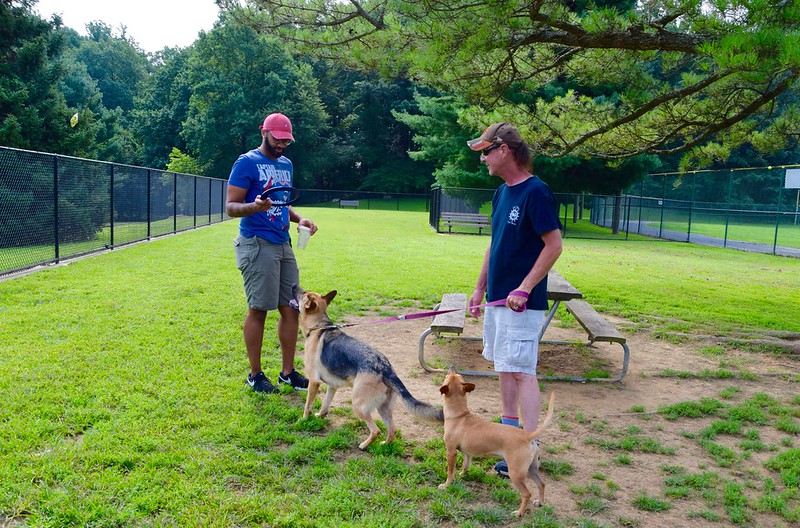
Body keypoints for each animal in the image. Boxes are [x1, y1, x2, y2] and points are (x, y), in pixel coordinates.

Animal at [294, 284, 444, 450]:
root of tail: (386, 370)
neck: (318, 327)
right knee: (392, 430)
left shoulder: (314, 382)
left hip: (359, 405)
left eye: (303, 293)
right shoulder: (332, 386)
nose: (294, 285)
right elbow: (325, 406)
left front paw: (303, 420)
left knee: (376, 430)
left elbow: (308, 405)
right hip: (383, 407)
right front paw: (320, 416)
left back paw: (364, 445)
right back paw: (384, 445)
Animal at [438, 368, 556, 516]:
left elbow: (450, 472)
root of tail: (527, 436)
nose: (452, 367)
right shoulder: (467, 453)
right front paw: (462, 475)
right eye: (456, 375)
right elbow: (465, 466)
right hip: (531, 469)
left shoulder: (451, 452)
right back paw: (539, 502)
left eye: (448, 376)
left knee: (527, 494)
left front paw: (446, 485)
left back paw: (518, 513)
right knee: (541, 484)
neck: (460, 415)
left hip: (515, 473)